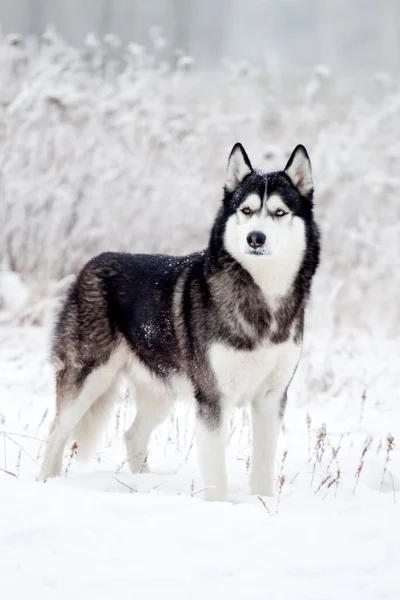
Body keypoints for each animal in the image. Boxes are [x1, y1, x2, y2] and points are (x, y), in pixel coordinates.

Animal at [40, 144, 320, 502]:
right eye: (246, 210)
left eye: (280, 212)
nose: (256, 238)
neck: (262, 296)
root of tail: (90, 264)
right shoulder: (213, 400)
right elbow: (217, 474)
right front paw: (220, 506)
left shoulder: (271, 399)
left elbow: (263, 467)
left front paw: (263, 503)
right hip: (87, 379)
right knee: (56, 435)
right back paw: (47, 483)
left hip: (162, 392)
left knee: (132, 436)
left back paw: (142, 487)